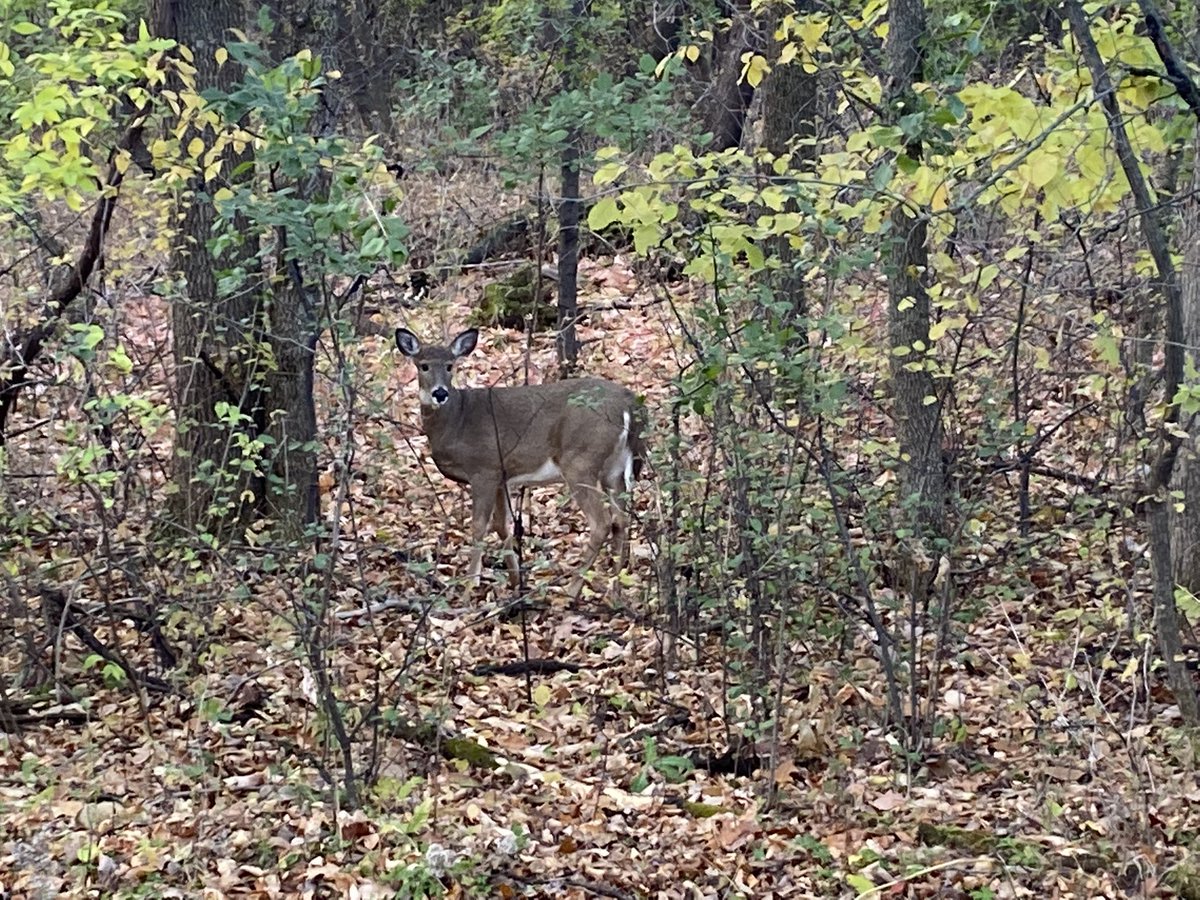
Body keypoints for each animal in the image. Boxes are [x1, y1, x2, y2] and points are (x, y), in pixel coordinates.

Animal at [396, 327, 645, 600]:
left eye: (450, 365)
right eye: (424, 365)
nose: (440, 393)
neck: (457, 421)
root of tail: (629, 403)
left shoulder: (483, 468)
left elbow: (479, 526)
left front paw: (470, 586)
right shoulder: (501, 474)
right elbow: (501, 525)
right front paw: (516, 581)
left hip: (580, 460)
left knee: (602, 523)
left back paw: (572, 590)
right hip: (614, 468)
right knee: (621, 520)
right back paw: (615, 591)